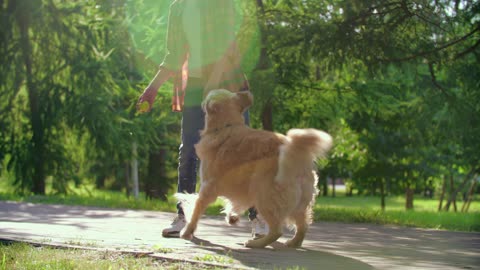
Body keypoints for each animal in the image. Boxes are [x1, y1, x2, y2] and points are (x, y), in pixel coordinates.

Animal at [178, 89, 332, 248]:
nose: (201, 100)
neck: (228, 125)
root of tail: (296, 157)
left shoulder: (208, 187)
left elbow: (196, 209)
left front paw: (187, 231)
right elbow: (234, 202)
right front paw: (232, 216)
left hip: (264, 197)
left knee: (277, 231)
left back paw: (255, 243)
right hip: (298, 203)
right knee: (302, 226)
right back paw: (293, 242)